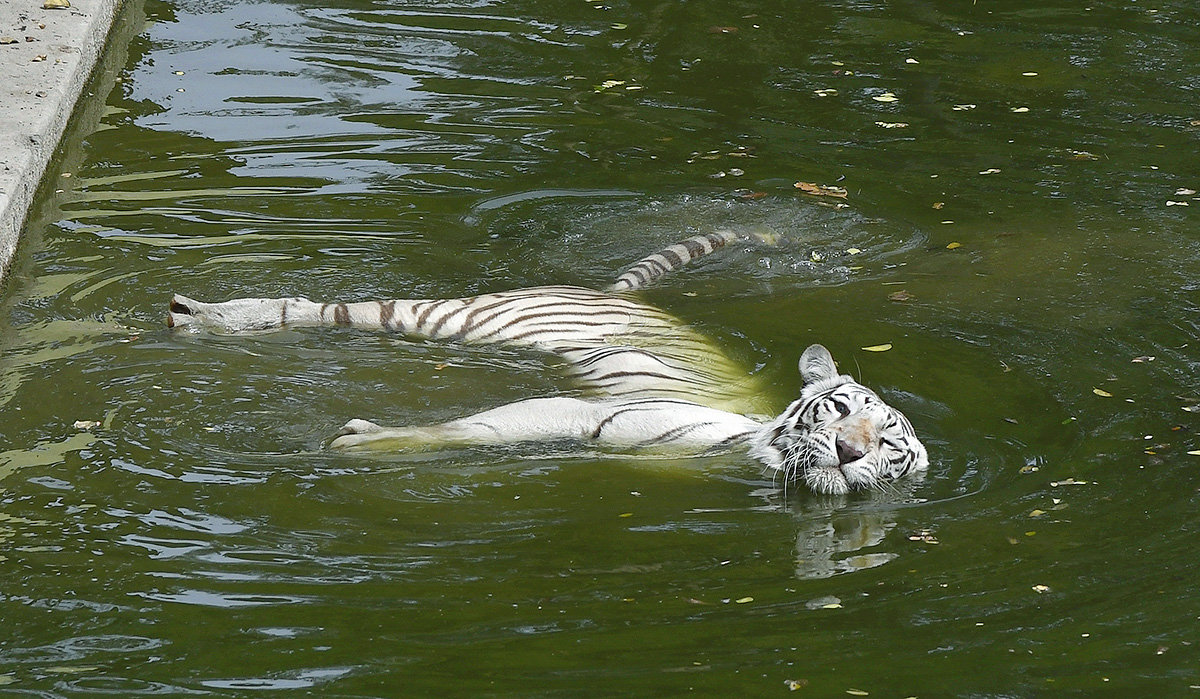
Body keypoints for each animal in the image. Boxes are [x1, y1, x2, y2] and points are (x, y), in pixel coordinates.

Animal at [166, 233, 926, 494]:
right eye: (839, 409)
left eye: (888, 446)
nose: (849, 453)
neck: (754, 456)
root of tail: (614, 291)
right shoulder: (589, 415)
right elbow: (472, 428)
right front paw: (362, 440)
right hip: (451, 317)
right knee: (320, 308)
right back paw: (200, 314)